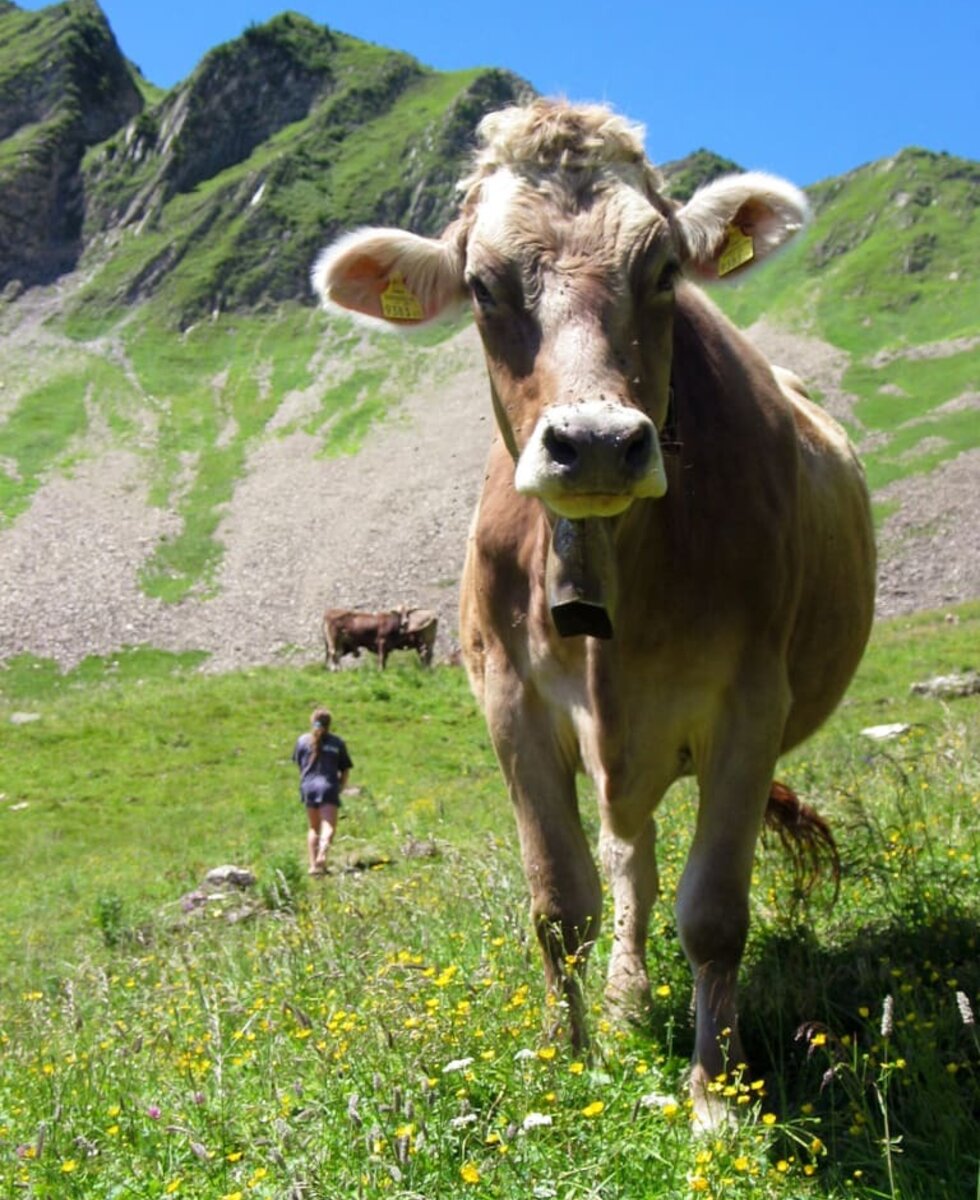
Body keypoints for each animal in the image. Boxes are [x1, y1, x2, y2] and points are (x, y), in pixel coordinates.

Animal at [311, 96, 873, 1123]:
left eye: (664, 270)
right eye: (483, 287)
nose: (600, 443)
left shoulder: (750, 705)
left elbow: (714, 913)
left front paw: (716, 1091)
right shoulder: (511, 705)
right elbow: (559, 902)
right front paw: (567, 1057)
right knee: (626, 862)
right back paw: (623, 1001)